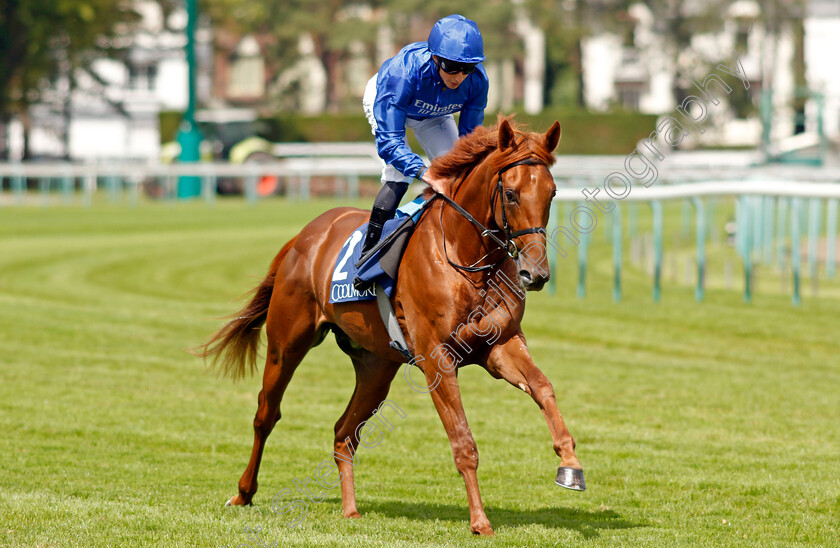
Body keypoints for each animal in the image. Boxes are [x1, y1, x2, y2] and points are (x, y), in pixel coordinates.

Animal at [201, 116, 588, 536]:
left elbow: (543, 387)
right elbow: (463, 441)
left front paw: (570, 464)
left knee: (344, 433)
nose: (536, 273)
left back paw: (350, 509)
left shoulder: (500, 346)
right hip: (286, 343)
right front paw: (480, 521)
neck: (466, 256)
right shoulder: (437, 359)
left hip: (376, 366)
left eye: (552, 193)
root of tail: (304, 236)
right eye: (513, 194)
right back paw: (243, 492)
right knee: (266, 415)